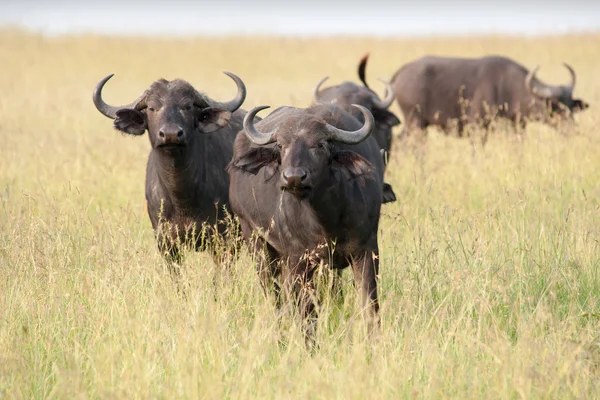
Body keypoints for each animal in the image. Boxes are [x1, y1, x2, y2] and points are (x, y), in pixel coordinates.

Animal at [225, 101, 390, 342]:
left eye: (320, 144)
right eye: (281, 145)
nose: (293, 177)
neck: (328, 220)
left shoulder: (367, 252)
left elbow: (369, 304)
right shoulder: (299, 261)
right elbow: (307, 313)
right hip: (255, 240)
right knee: (273, 294)